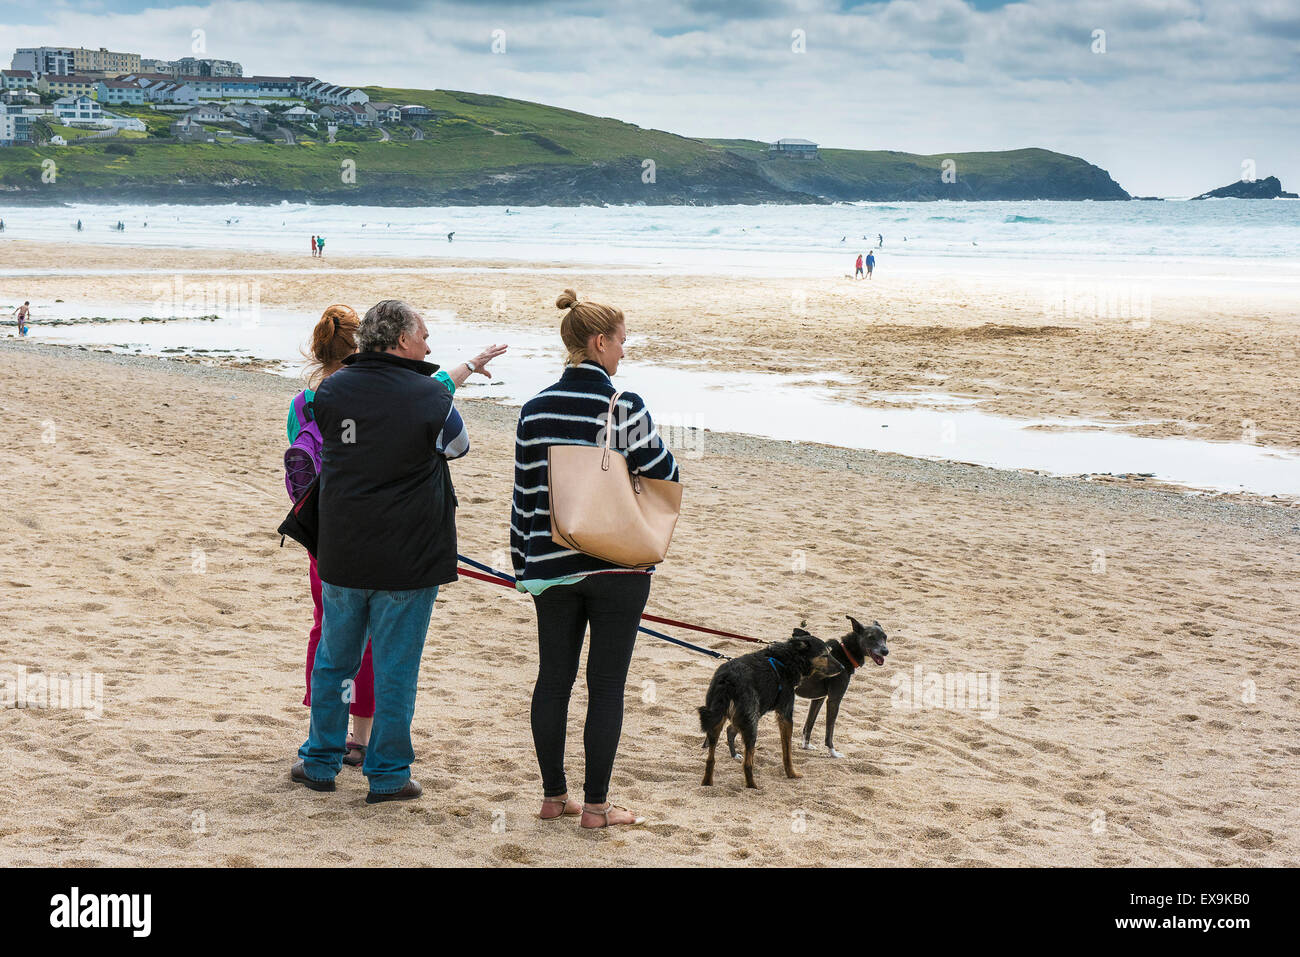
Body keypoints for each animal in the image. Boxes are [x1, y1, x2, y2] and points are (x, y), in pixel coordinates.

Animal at [702, 624, 842, 790]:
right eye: (824, 655)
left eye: (830, 653)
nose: (842, 667)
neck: (788, 659)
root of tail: (727, 679)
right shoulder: (785, 716)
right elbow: (787, 751)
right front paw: (791, 773)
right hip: (751, 720)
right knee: (747, 763)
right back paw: (753, 786)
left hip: (728, 717)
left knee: (712, 756)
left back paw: (708, 782)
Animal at [785, 616, 889, 759]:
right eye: (871, 637)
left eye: (885, 637)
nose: (885, 651)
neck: (845, 653)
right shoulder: (834, 700)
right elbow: (830, 731)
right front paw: (833, 753)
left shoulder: (818, 699)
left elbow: (809, 725)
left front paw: (806, 746)